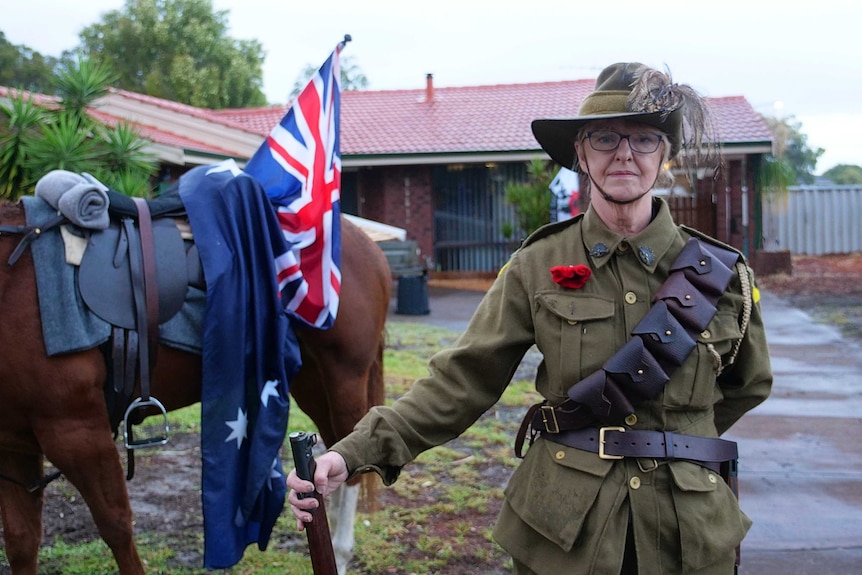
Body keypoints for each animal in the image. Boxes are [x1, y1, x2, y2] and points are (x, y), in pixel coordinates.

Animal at [0, 200, 392, 572]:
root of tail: (368, 247)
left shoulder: (77, 433)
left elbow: (117, 529)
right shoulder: (15, 447)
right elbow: (21, 541)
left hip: (343, 376)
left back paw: (339, 551)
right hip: (311, 382)